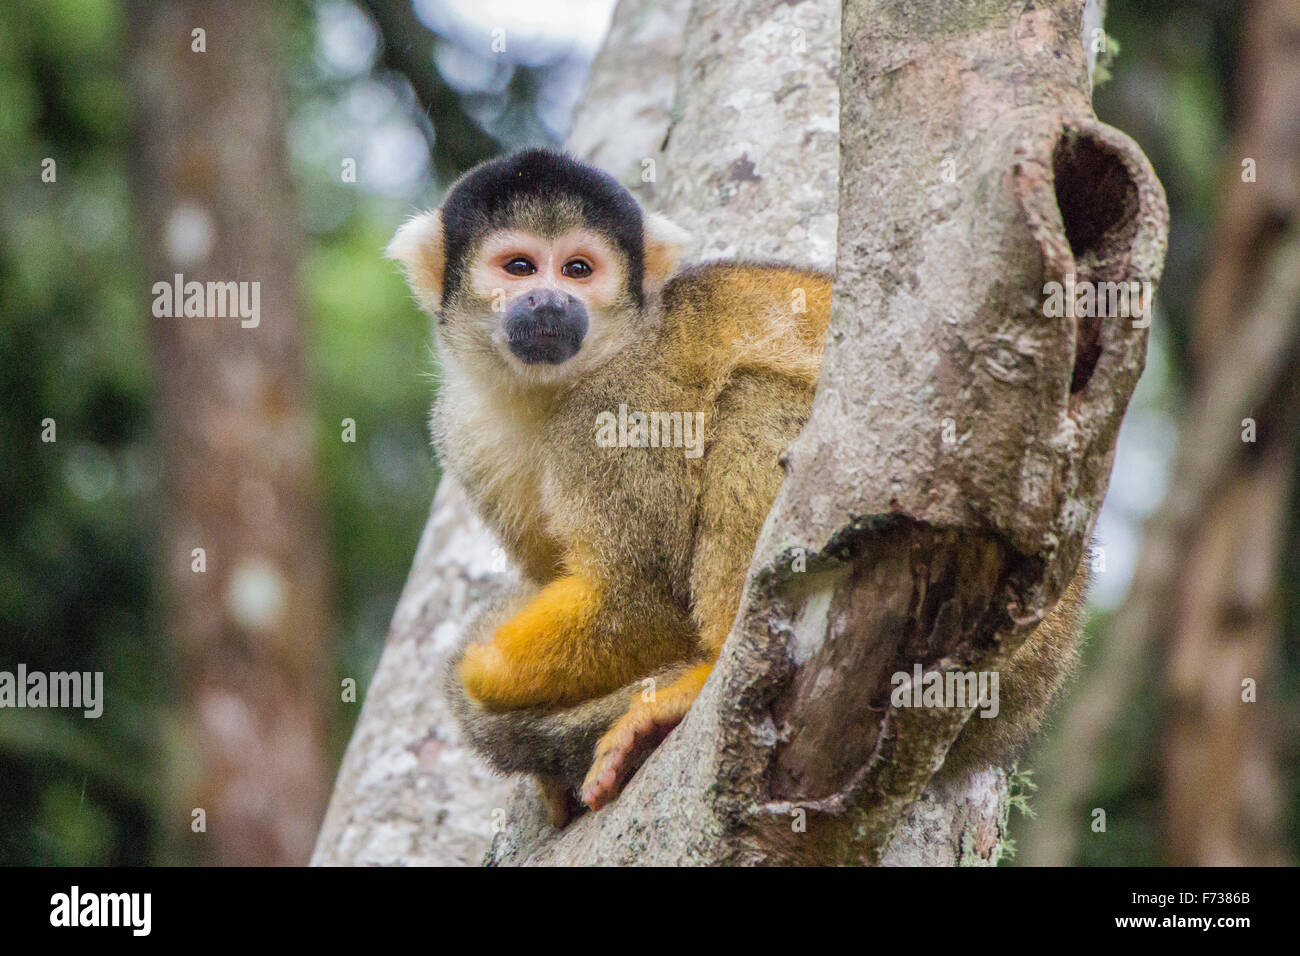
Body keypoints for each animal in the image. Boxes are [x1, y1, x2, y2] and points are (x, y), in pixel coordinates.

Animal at [387, 149, 1086, 832]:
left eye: (578, 269)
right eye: (520, 267)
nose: (550, 303)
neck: (552, 387)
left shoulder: (624, 405)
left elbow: (642, 595)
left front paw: (481, 669)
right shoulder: (463, 433)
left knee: (755, 399)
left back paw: (701, 682)